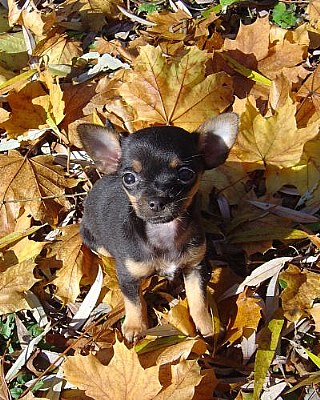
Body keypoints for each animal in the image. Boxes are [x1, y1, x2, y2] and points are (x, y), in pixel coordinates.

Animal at [77, 113, 238, 344]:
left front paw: (208, 325)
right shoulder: (128, 277)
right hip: (97, 243)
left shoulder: (195, 268)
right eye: (129, 178)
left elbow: (198, 299)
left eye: (186, 174)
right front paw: (135, 327)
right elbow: (134, 302)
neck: (164, 231)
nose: (157, 200)